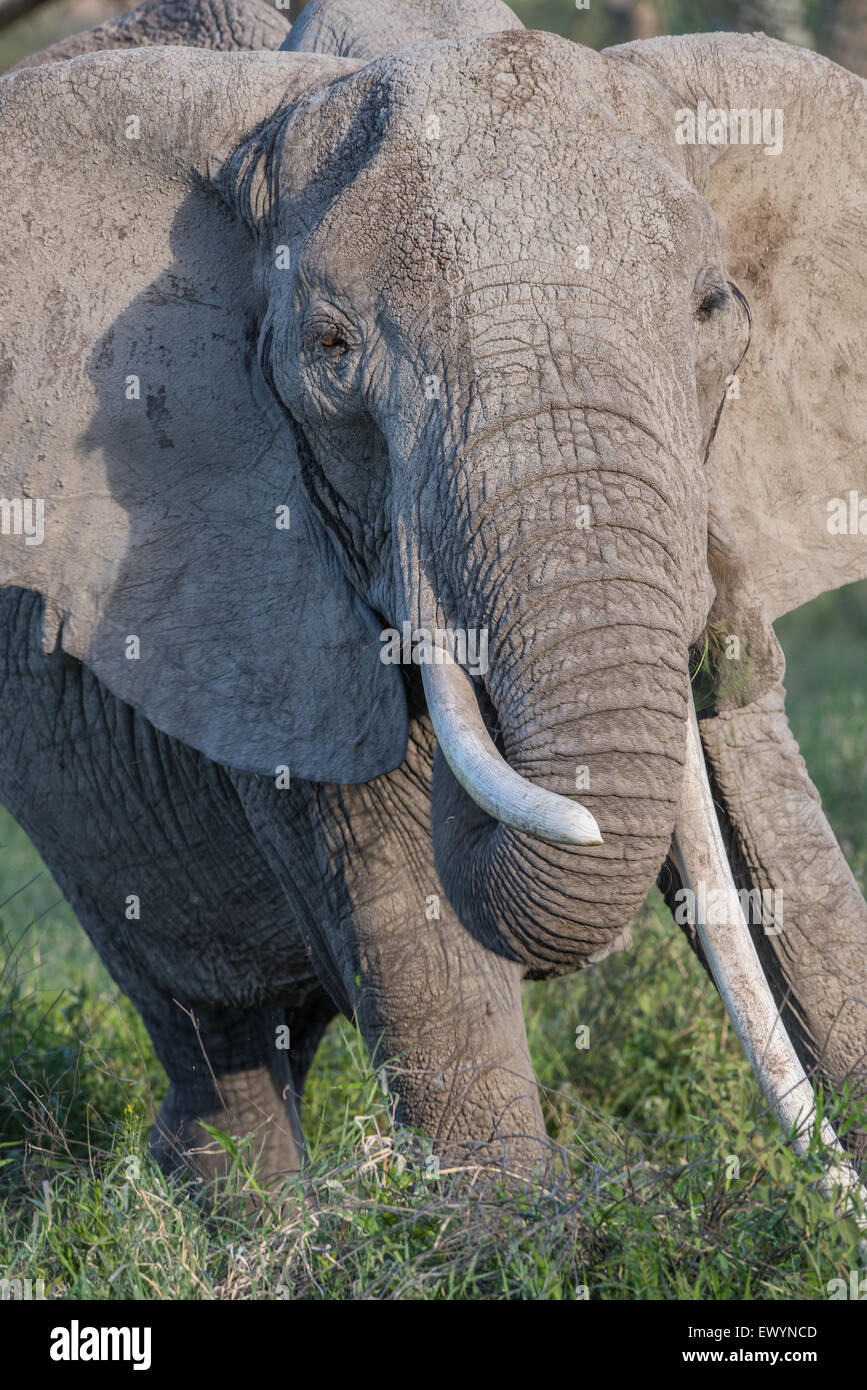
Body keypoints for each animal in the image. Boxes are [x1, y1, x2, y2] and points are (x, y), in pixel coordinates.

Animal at [1, 2, 867, 1195]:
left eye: (711, 310)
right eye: (330, 351)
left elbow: (798, 879)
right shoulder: (265, 598)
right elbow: (422, 946)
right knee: (214, 1042)